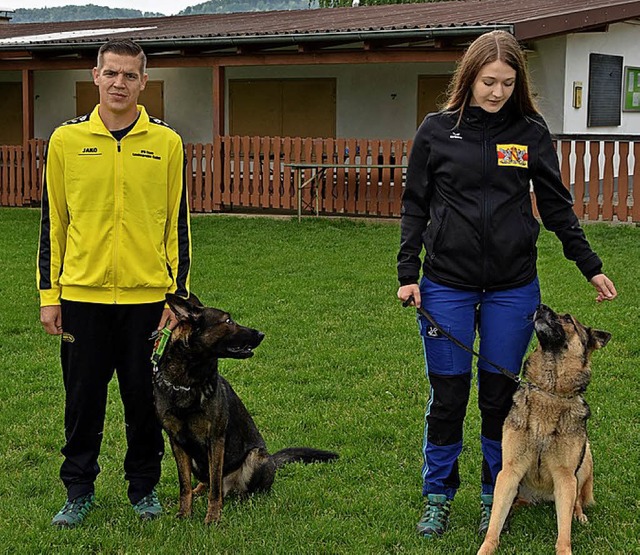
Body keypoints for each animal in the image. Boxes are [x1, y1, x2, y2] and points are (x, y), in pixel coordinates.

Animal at [153, 296, 340, 524]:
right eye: (228, 321)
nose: (261, 334)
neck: (188, 383)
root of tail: (273, 460)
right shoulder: (177, 442)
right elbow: (184, 485)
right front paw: (184, 513)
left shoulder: (216, 439)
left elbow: (215, 488)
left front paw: (212, 517)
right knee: (206, 483)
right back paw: (199, 491)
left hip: (256, 456)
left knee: (239, 489)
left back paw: (241, 499)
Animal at [480, 304, 608, 555]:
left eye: (568, 319)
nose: (540, 307)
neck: (549, 392)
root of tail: (540, 497)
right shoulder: (509, 471)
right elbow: (494, 524)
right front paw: (487, 546)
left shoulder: (565, 478)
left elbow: (564, 532)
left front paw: (565, 548)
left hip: (585, 458)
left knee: (577, 500)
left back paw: (580, 514)